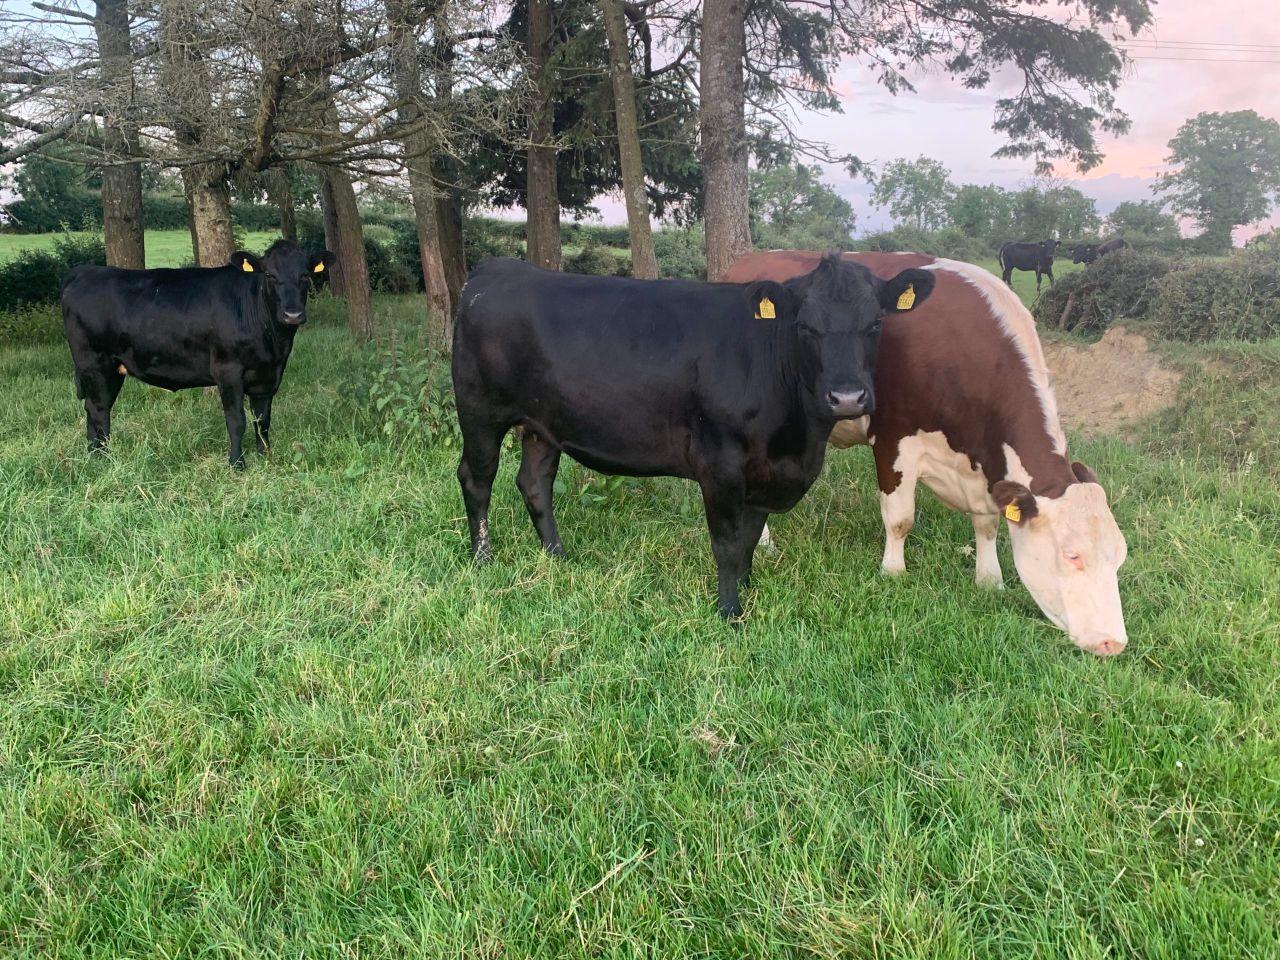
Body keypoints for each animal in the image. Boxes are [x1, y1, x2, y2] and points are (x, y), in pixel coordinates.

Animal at [61, 239, 334, 468]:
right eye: (269, 275)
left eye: (305, 275)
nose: (292, 315)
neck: (272, 341)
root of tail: (84, 271)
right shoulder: (228, 370)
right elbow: (237, 420)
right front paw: (237, 464)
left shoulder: (268, 375)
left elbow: (262, 420)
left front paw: (265, 457)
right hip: (94, 363)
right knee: (98, 410)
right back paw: (104, 458)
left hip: (112, 368)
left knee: (93, 408)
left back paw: (94, 455)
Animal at [451, 255, 936, 618]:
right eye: (805, 327)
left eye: (876, 322)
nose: (848, 397)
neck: (797, 442)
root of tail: (495, 269)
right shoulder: (719, 464)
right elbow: (725, 542)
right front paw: (730, 611)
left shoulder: (764, 472)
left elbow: (748, 538)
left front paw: (747, 586)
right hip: (479, 411)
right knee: (477, 479)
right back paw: (483, 558)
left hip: (542, 425)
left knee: (535, 483)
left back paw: (558, 555)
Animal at [723, 250, 1129, 656]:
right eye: (1072, 555)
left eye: (1120, 555)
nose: (1112, 641)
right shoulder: (894, 438)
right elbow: (900, 518)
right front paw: (893, 572)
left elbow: (987, 523)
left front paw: (990, 579)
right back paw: (764, 542)